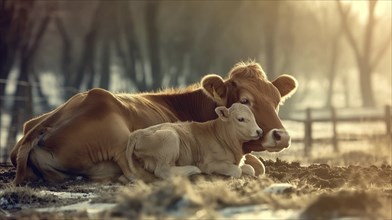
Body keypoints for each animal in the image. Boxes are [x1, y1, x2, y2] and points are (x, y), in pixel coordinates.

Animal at [124, 103, 262, 180]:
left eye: (254, 117)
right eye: (241, 119)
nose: (259, 131)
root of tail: (138, 133)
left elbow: (250, 168)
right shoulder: (209, 164)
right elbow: (237, 171)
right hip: (170, 138)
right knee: (162, 170)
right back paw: (192, 169)